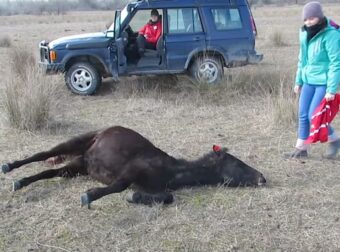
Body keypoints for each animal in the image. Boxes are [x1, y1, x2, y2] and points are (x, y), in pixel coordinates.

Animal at [0, 125, 266, 207]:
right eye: (238, 164)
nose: (263, 178)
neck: (171, 170)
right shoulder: (130, 172)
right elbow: (117, 187)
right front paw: (89, 196)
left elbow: (167, 197)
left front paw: (135, 198)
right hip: (74, 146)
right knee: (43, 154)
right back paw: (9, 167)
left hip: (79, 165)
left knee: (49, 171)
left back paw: (20, 182)